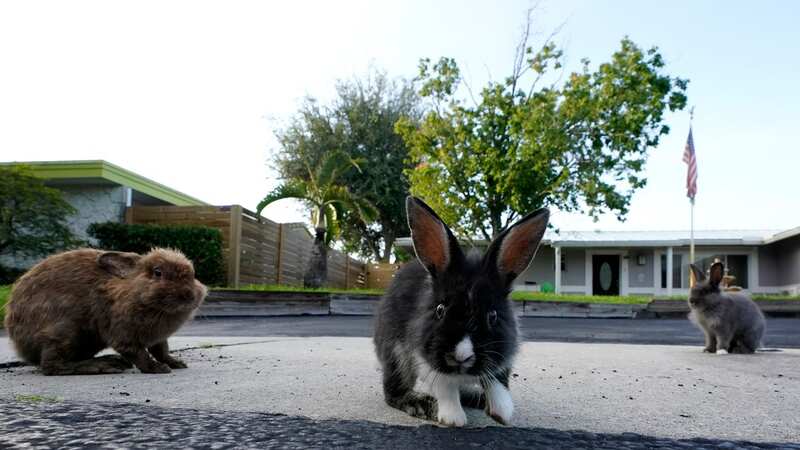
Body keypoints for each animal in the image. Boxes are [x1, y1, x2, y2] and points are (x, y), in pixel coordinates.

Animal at [4, 248, 207, 375]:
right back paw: (102, 366)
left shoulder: (158, 338)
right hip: (64, 332)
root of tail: (20, 344)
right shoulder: (123, 335)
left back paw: (114, 361)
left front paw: (176, 363)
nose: (188, 296)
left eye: (193, 274)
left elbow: (161, 350)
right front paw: (158, 369)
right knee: (51, 366)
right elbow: (139, 354)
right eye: (158, 273)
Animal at [373, 196, 549, 427]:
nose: (461, 356)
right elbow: (445, 386)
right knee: (393, 392)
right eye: (440, 309)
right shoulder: (424, 357)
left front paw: (501, 412)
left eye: (492, 316)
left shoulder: (503, 358)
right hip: (395, 356)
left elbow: (497, 382)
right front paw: (453, 418)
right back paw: (421, 403)